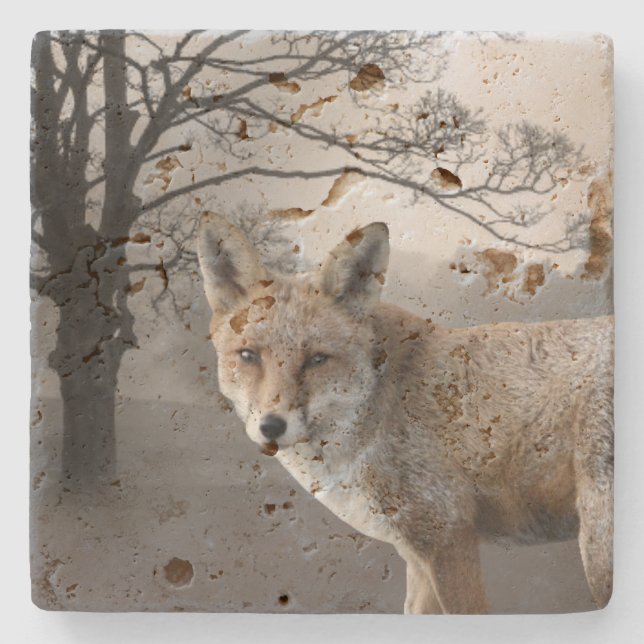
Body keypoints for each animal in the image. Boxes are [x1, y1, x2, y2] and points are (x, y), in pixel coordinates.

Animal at [197, 212, 614, 614]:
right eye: (248, 355)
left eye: (317, 359)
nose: (272, 426)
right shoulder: (416, 554)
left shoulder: (447, 535)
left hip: (596, 546)